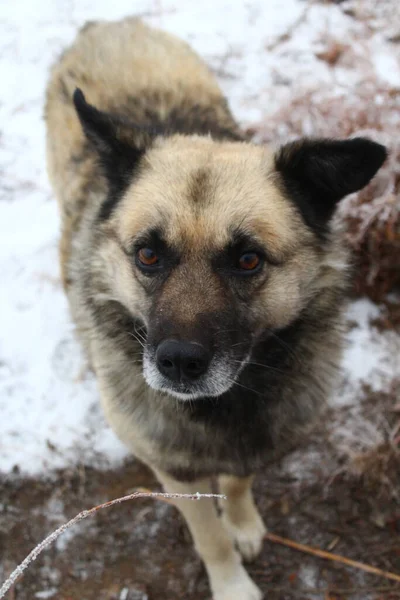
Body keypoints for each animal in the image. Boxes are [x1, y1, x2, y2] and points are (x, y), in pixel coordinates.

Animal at [45, 16, 386, 596]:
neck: (228, 403)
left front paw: (243, 522)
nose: (179, 363)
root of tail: (107, 24)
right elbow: (210, 537)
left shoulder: (252, 441)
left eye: (248, 259)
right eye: (148, 254)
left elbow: (238, 482)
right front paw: (232, 583)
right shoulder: (175, 471)